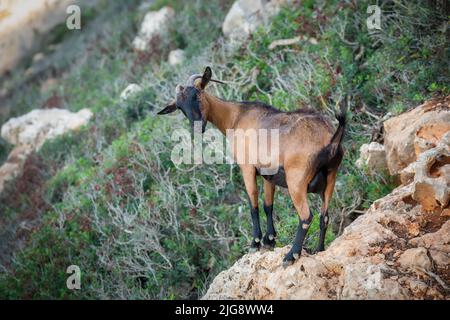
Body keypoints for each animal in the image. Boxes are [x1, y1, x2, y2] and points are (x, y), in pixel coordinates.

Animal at [156, 66, 346, 266]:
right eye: (179, 107)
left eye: (197, 93)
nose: (197, 127)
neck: (236, 117)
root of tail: (331, 139)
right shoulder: (269, 174)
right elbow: (268, 205)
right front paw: (269, 241)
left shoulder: (247, 168)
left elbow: (253, 204)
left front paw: (255, 243)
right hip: (331, 177)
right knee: (324, 216)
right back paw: (319, 250)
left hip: (296, 181)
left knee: (306, 217)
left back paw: (291, 255)